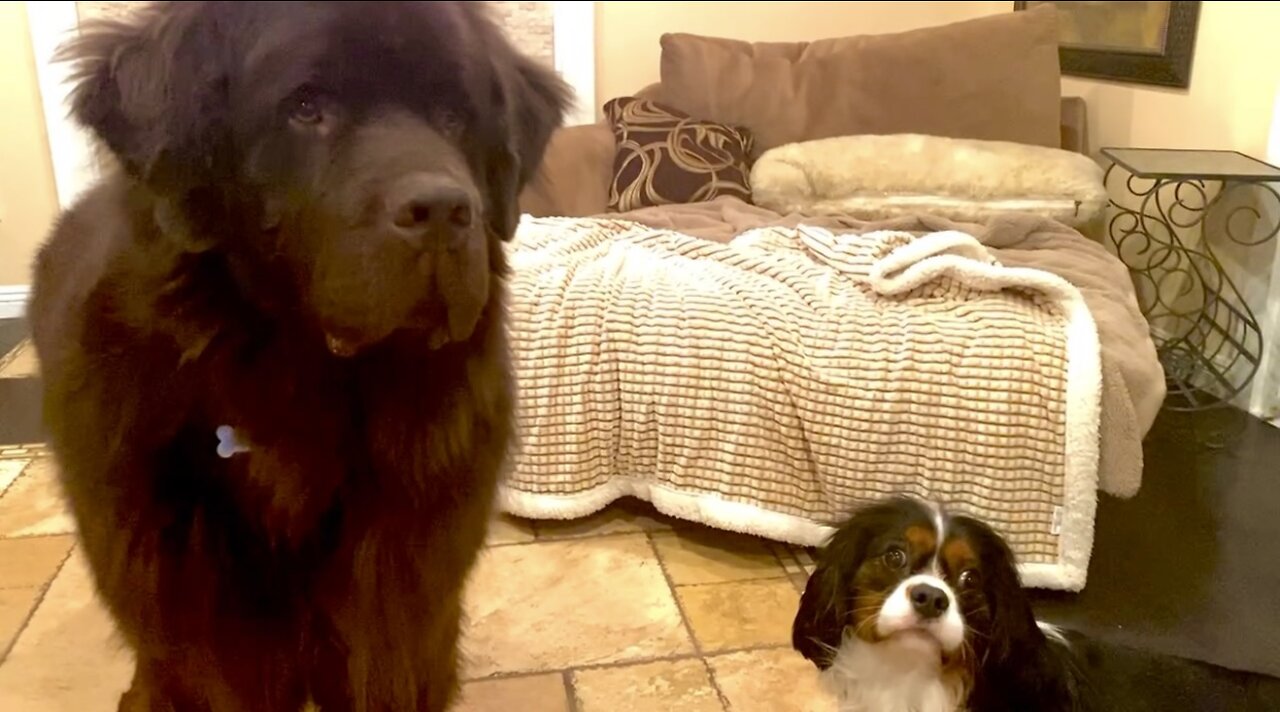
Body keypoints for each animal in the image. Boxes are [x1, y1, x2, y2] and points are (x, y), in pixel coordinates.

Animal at [28, 2, 570, 706]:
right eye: (306, 107)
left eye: (455, 115)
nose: (447, 210)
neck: (305, 390)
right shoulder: (205, 626)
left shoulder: (400, 612)